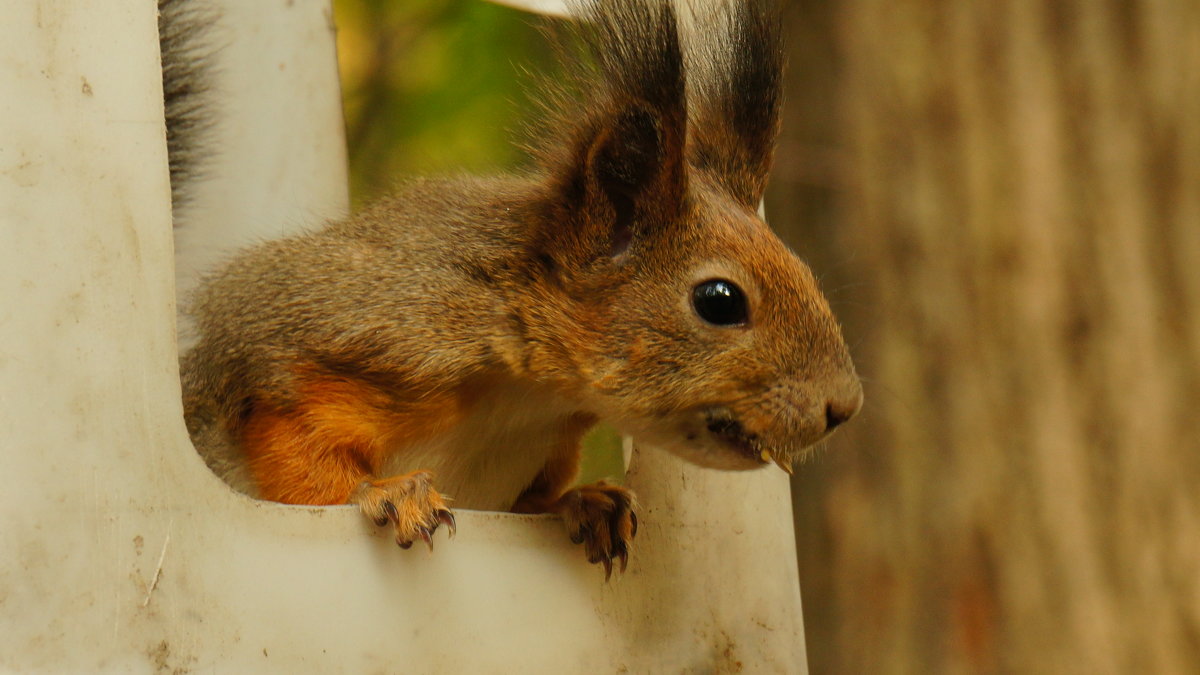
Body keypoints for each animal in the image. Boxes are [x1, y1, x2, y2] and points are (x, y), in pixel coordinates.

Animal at [164, 0, 864, 576]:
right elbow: (298, 463)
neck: (527, 398)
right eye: (719, 301)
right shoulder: (334, 355)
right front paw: (390, 494)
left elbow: (536, 503)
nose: (844, 408)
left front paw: (588, 502)